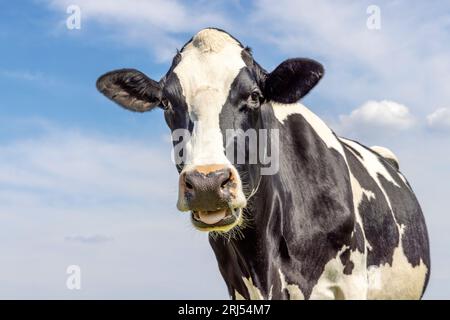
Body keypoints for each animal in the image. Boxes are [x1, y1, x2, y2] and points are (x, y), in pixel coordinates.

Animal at [96, 27, 430, 300]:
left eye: (255, 96)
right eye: (166, 102)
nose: (207, 183)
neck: (265, 261)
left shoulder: (351, 283)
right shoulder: (238, 286)